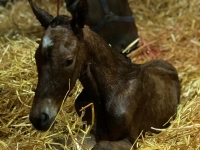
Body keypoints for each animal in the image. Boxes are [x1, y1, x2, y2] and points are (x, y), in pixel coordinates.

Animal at [28, 0, 181, 149]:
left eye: (69, 61)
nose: (39, 118)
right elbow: (59, 143)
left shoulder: (131, 141)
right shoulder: (88, 131)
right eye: (36, 57)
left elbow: (100, 146)